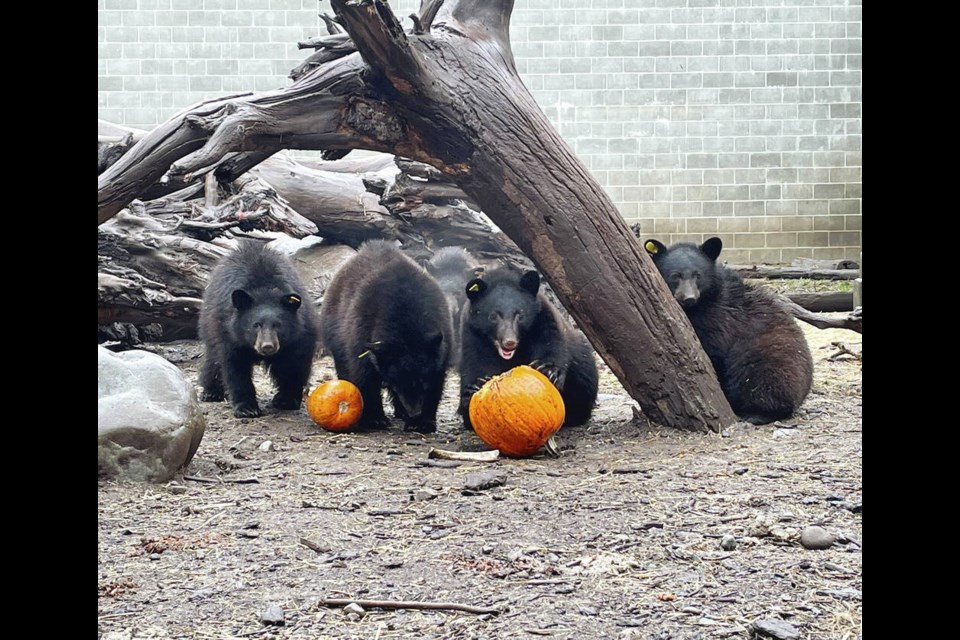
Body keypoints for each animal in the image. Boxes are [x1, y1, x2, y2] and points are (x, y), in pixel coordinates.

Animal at [198, 242, 318, 418]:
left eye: (278, 325)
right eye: (256, 325)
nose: (267, 346)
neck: (265, 289)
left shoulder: (300, 333)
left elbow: (295, 364)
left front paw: (286, 400)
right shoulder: (229, 332)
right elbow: (235, 367)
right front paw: (247, 408)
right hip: (209, 322)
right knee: (213, 358)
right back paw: (210, 392)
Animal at [318, 241, 454, 436]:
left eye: (422, 380)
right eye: (397, 382)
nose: (414, 411)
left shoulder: (441, 343)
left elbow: (436, 381)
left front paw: (421, 422)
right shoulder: (362, 333)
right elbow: (364, 376)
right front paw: (375, 419)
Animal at [460, 264, 600, 430]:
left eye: (520, 315)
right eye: (493, 316)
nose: (509, 342)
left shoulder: (543, 320)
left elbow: (551, 344)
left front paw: (548, 370)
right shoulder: (473, 337)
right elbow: (476, 364)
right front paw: (473, 388)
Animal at [640, 236, 812, 424]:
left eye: (698, 275)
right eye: (675, 275)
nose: (689, 298)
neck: (697, 307)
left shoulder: (720, 318)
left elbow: (714, 349)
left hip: (765, 360)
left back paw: (756, 413)